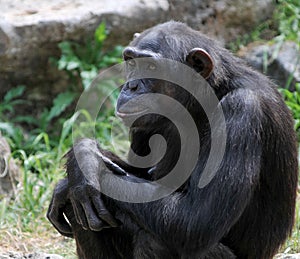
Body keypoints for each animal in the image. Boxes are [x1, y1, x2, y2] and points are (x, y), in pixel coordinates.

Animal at [47, 21, 298, 259]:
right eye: (131, 62)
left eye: (150, 67)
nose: (131, 85)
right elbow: (138, 174)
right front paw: (84, 157)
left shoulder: (242, 109)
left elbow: (196, 221)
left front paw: (88, 170)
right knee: (78, 205)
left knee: (155, 239)